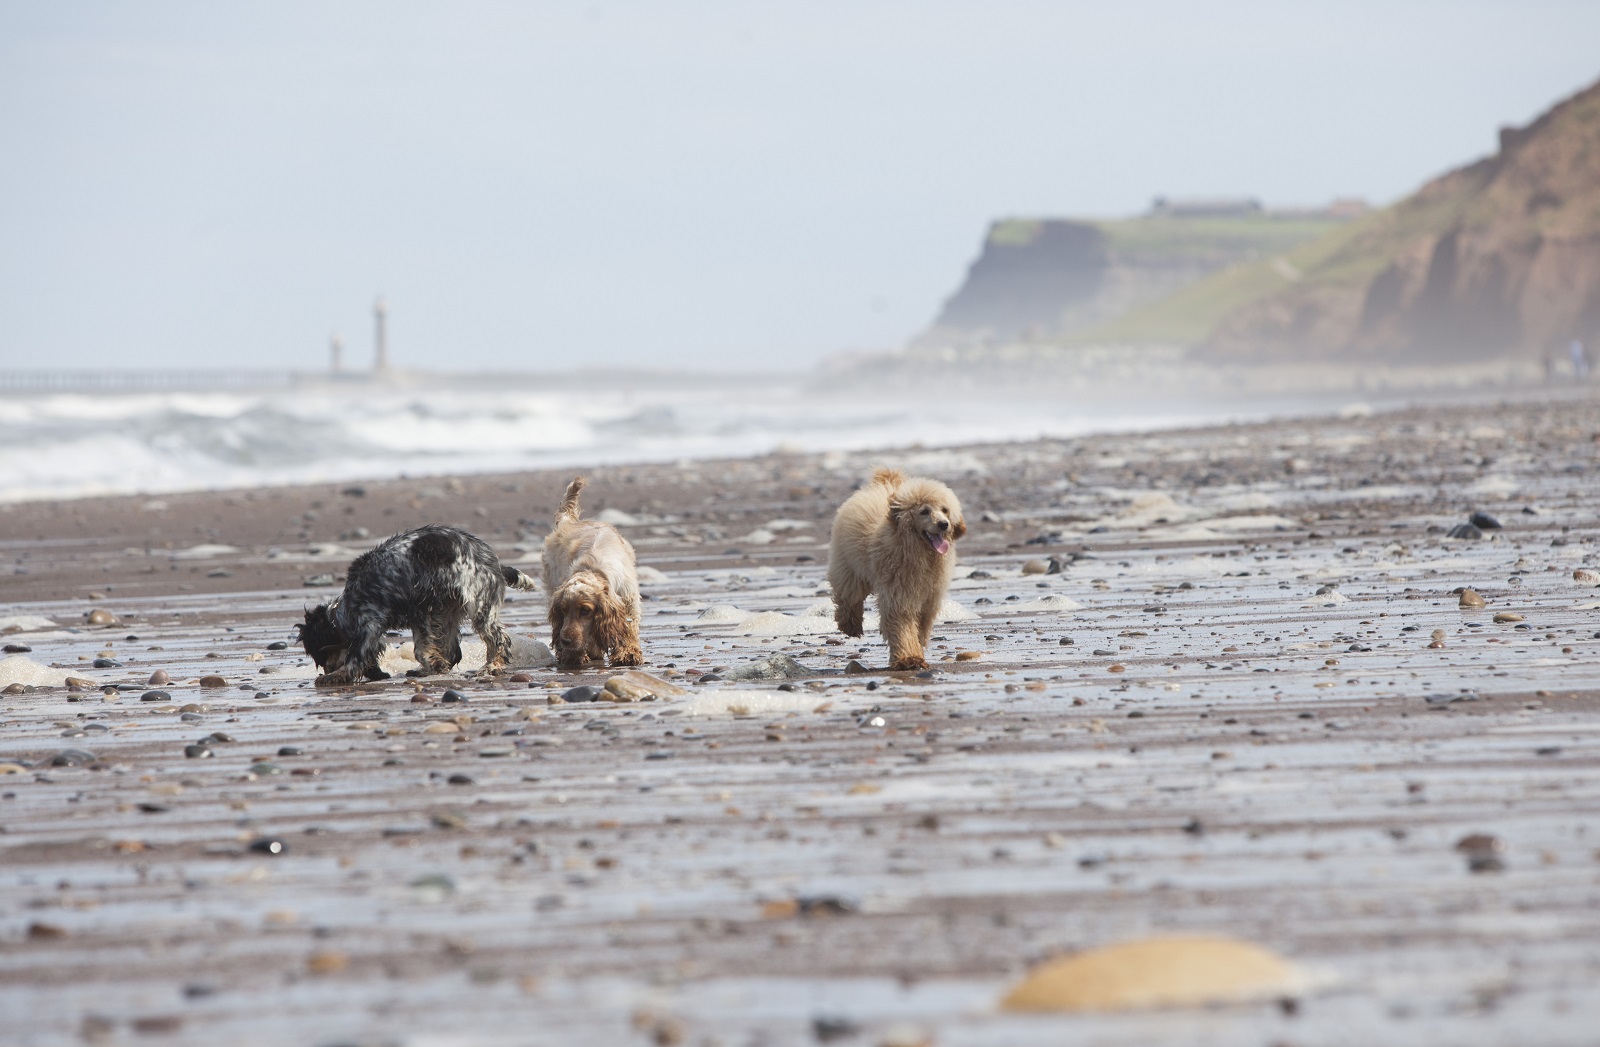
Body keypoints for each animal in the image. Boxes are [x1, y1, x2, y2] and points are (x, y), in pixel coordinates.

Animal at [291, 525, 534, 688]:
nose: (327, 669)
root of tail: (494, 561)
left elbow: (357, 657)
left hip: (479, 605)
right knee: (454, 649)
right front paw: (434, 665)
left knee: (499, 639)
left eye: (320, 659)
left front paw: (336, 676)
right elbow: (424, 649)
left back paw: (492, 667)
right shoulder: (423, 615)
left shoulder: (375, 622)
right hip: (451, 611)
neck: (344, 609)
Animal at [537, 477, 636, 672]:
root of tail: (566, 522)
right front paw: (572, 655)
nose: (565, 641)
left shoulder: (629, 598)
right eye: (562, 610)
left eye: (585, 610)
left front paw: (628, 654)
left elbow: (629, 627)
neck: (594, 569)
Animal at [832, 470, 966, 672]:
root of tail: (884, 483)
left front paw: (917, 646)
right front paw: (908, 658)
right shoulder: (898, 594)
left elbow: (921, 623)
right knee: (849, 597)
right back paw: (850, 625)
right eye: (924, 511)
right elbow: (902, 623)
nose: (944, 524)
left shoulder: (930, 597)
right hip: (849, 568)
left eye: (945, 510)